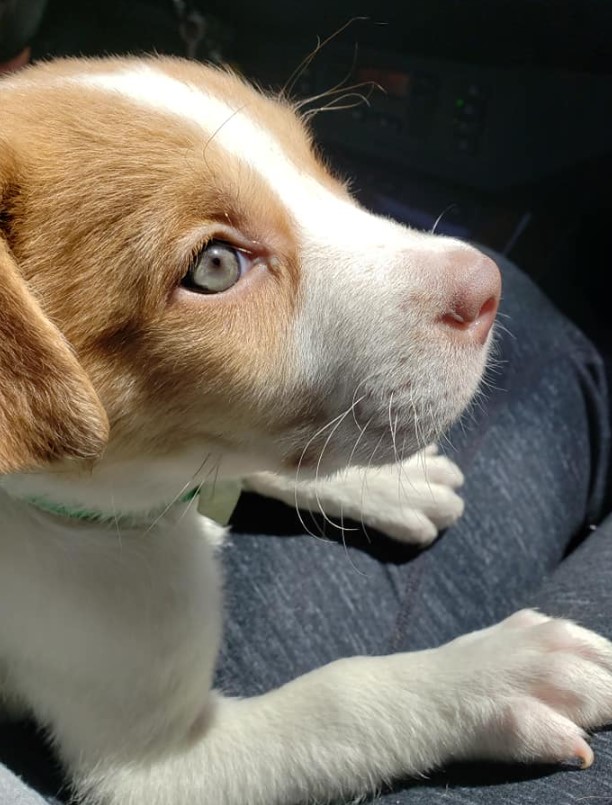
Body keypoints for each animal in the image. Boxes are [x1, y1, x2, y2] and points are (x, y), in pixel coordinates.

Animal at [1, 58, 612, 804]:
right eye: (215, 266)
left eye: (312, 163)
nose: (489, 285)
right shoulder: (157, 769)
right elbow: (340, 696)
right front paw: (495, 671)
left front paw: (390, 484)